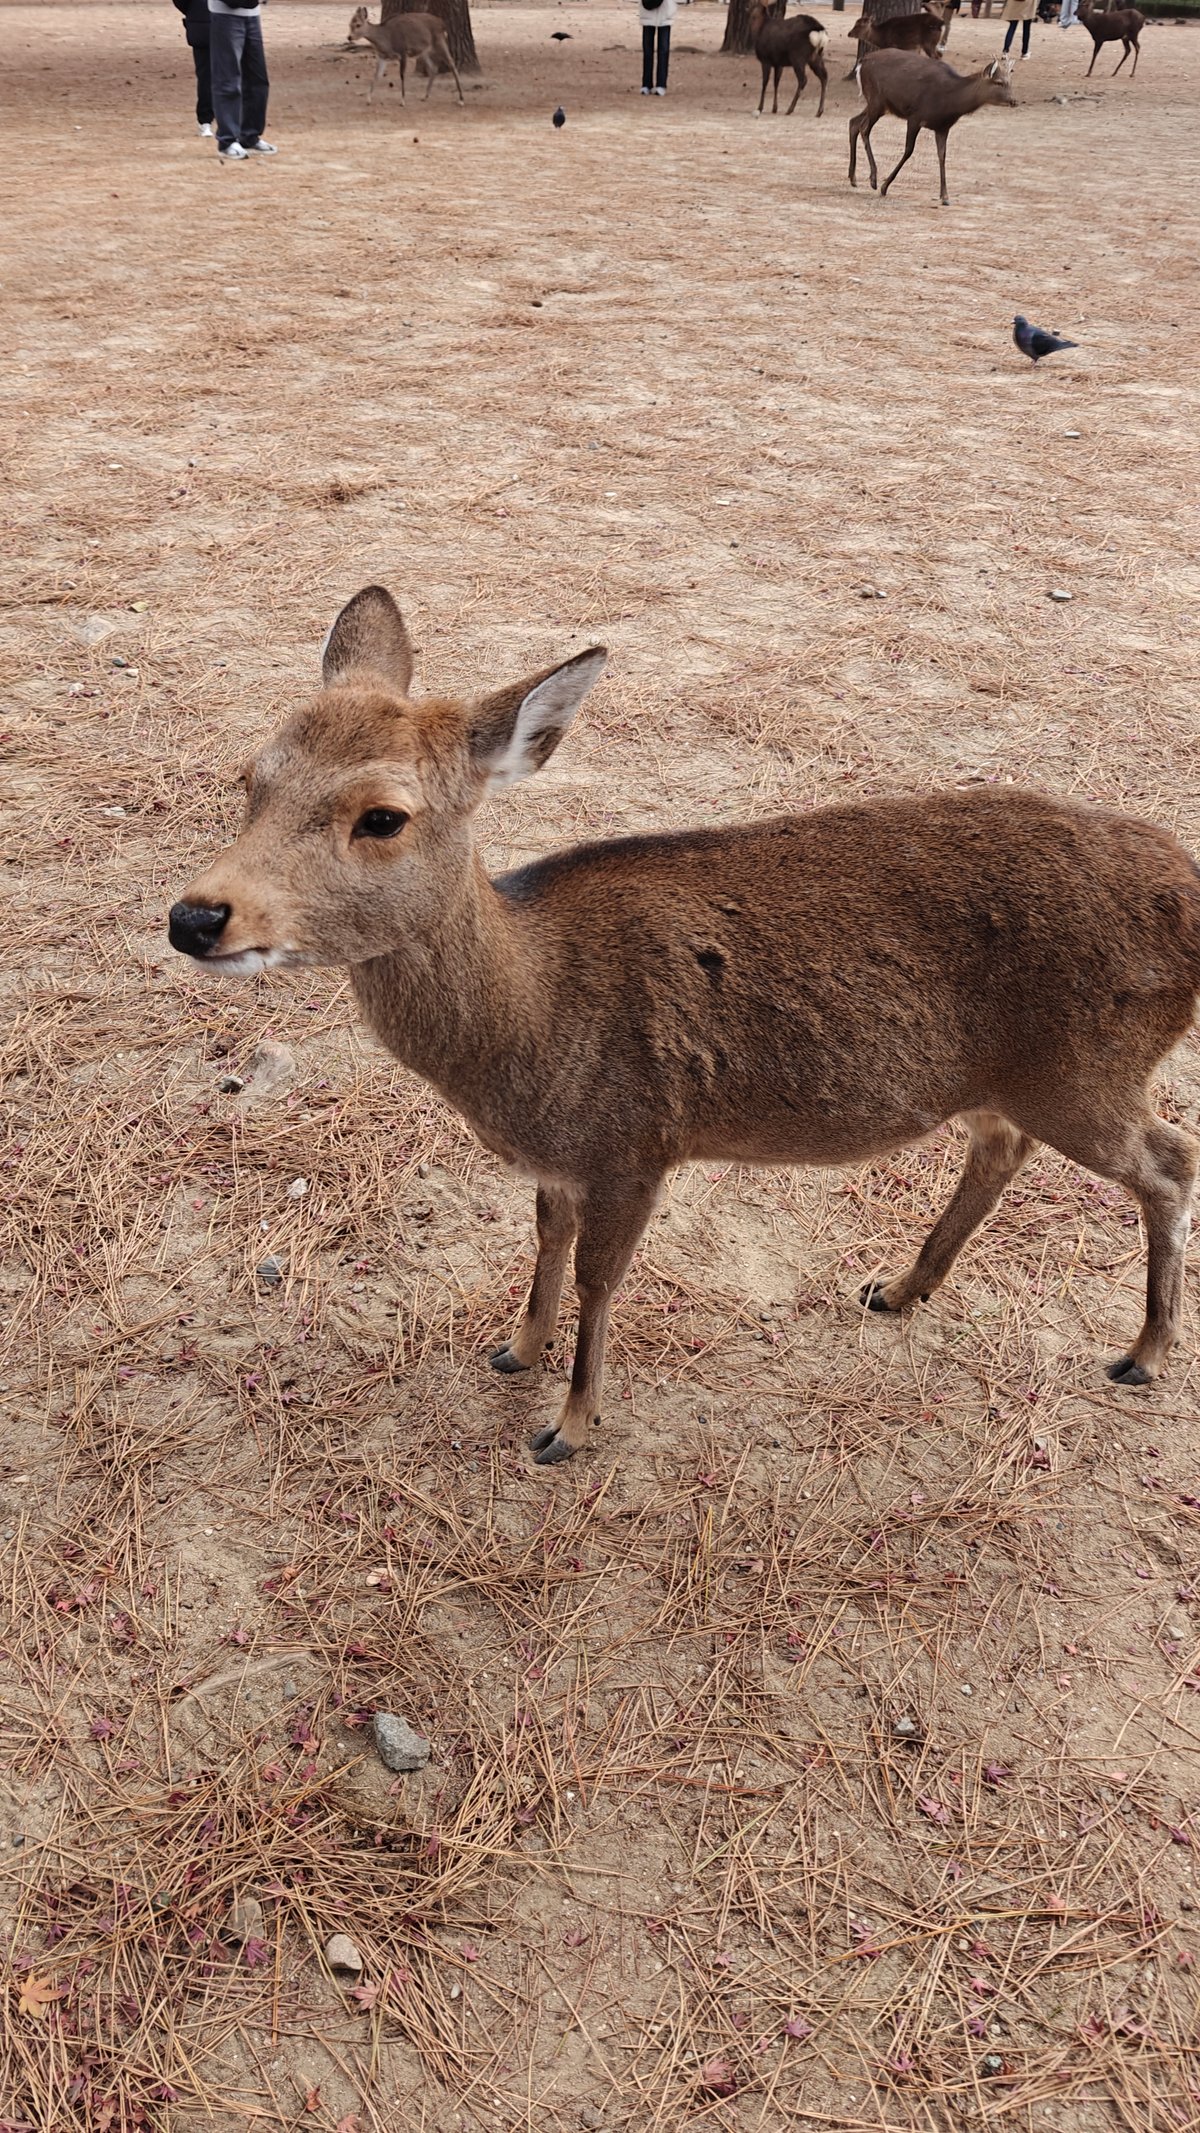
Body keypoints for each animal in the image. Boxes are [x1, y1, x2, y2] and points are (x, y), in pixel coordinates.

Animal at [168, 586, 1200, 1465]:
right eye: (252, 777)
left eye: (382, 816)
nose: (195, 916)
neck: (530, 1032)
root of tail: (1189, 891)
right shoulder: (563, 1159)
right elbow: (545, 1241)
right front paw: (516, 1350)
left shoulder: (635, 1141)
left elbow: (600, 1276)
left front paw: (569, 1426)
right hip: (1003, 1078)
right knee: (1003, 1146)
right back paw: (899, 1288)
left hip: (1087, 1068)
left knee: (1168, 1157)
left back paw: (1141, 1353)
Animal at [849, 49, 1014, 206]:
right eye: (998, 82)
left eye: (1009, 82)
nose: (1014, 100)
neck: (949, 103)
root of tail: (862, 62)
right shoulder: (915, 116)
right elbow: (908, 150)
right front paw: (885, 187)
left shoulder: (942, 127)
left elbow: (942, 155)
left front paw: (945, 197)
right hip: (876, 99)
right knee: (864, 128)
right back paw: (873, 179)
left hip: (879, 105)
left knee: (853, 122)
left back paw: (853, 178)